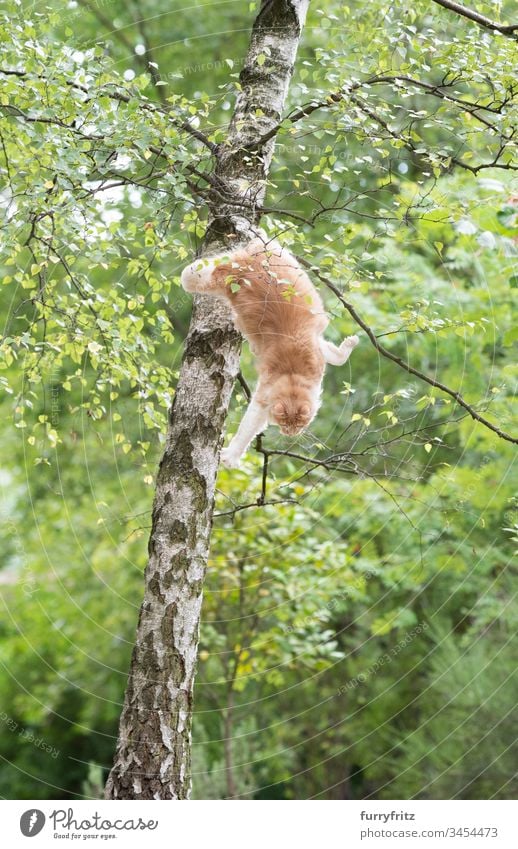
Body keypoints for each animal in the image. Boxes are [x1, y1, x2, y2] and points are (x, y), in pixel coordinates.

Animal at [181, 235, 360, 468]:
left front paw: (349, 344)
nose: (290, 434)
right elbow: (247, 430)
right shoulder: (262, 401)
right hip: (200, 276)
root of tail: (247, 268)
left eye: (298, 425)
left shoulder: (317, 348)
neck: (294, 374)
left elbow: (337, 356)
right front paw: (232, 456)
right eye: (285, 423)